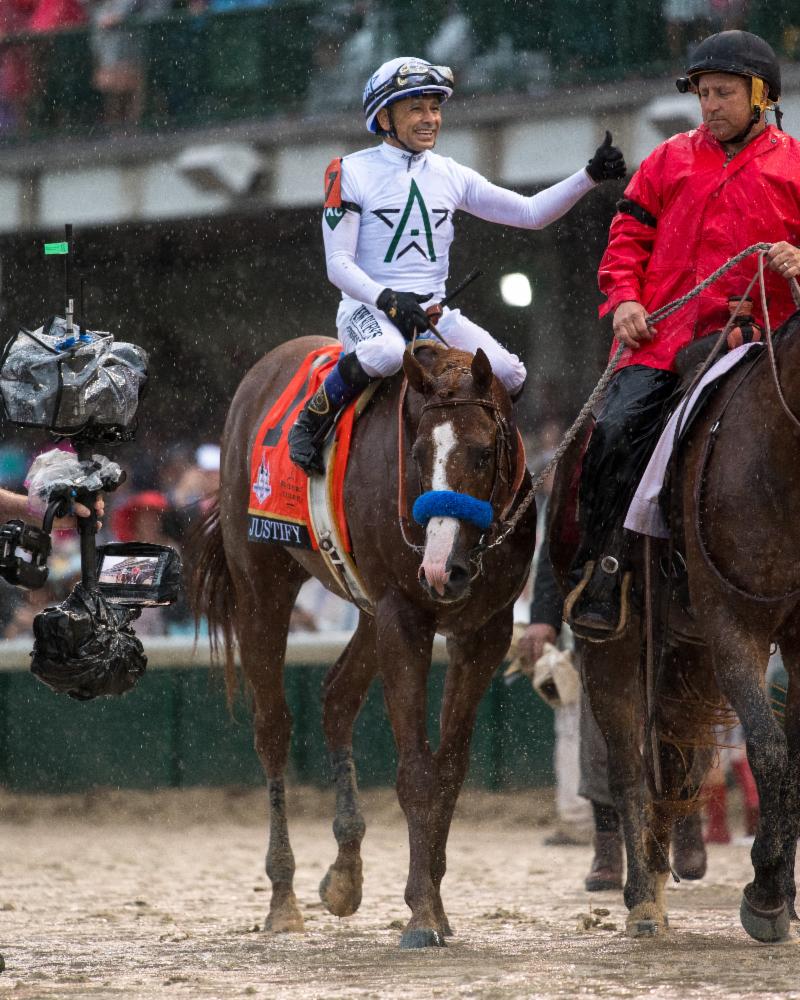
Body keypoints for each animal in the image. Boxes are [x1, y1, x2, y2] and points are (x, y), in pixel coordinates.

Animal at [190, 334, 536, 944]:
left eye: (483, 452)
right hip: (263, 587)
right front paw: (422, 913)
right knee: (273, 728)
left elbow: (450, 767)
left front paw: (434, 899)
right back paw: (283, 897)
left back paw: (345, 873)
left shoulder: (485, 631)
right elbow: (416, 770)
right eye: (417, 455)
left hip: (366, 611)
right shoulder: (403, 617)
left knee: (335, 698)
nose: (442, 570)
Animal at [552, 316, 800, 940]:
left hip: (682, 649)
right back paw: (642, 895)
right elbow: (769, 750)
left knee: (675, 765)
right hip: (614, 644)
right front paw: (765, 894)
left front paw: (781, 893)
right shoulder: (732, 628)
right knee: (627, 765)